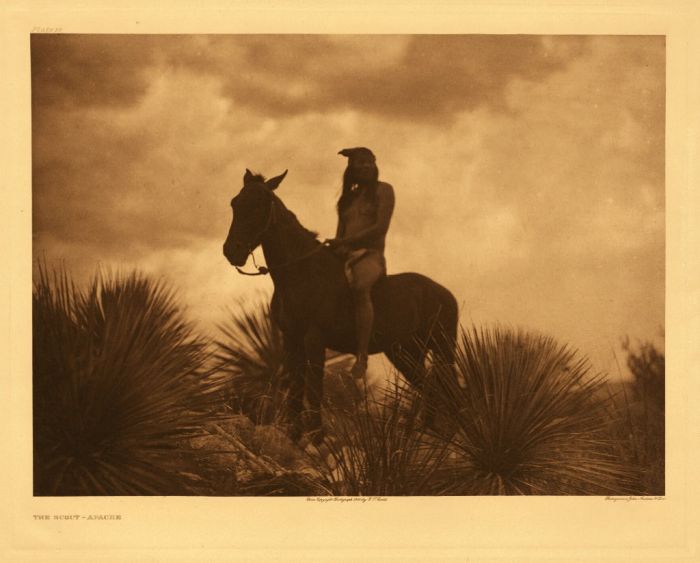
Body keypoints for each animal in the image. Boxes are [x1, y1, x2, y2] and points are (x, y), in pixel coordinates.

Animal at [221, 169, 456, 446]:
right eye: (235, 203)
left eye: (258, 204)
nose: (232, 251)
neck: (300, 273)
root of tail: (444, 293)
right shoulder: (291, 340)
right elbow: (295, 390)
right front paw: (294, 437)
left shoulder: (314, 339)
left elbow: (314, 389)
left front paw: (316, 439)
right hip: (405, 352)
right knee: (430, 387)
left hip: (441, 349)